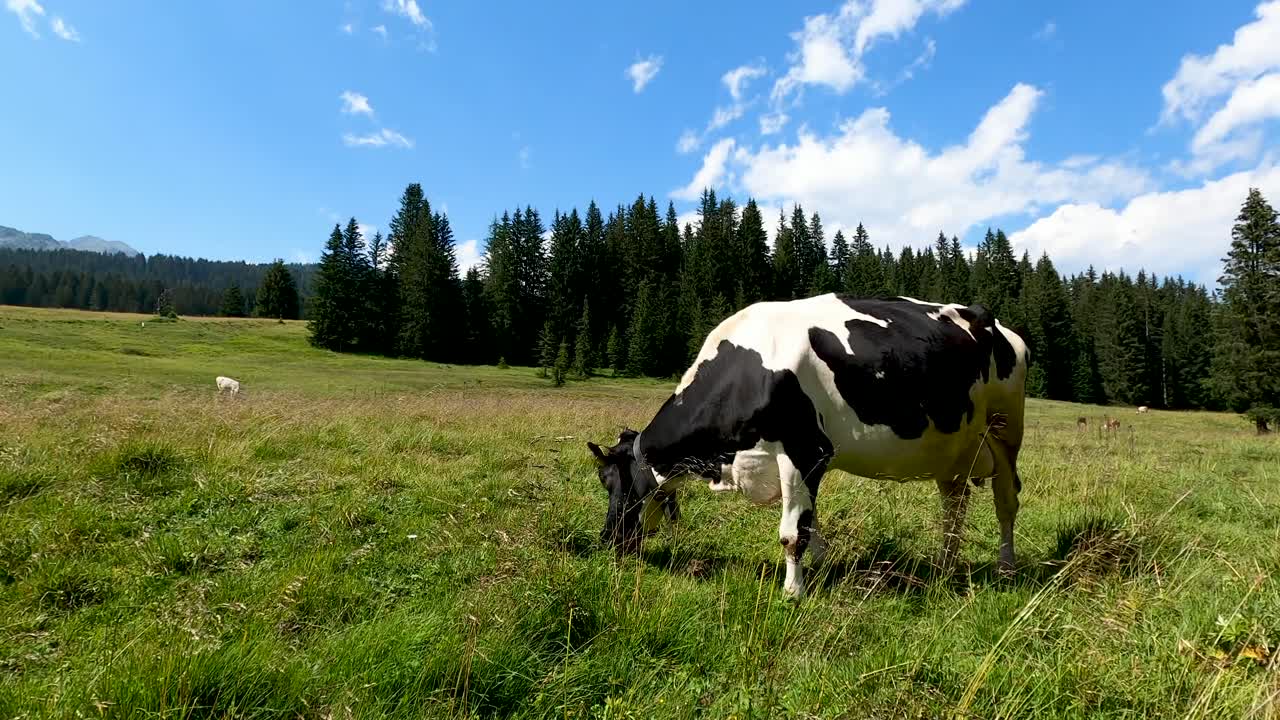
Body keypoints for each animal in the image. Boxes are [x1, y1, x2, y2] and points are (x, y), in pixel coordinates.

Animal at [587, 294, 1029, 599]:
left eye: (615, 484)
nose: (608, 539)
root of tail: (996, 323)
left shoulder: (806, 451)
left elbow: (791, 532)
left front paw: (793, 591)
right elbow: (809, 524)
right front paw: (821, 564)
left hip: (1005, 429)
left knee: (1006, 501)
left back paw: (1006, 568)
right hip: (952, 447)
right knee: (954, 505)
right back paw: (945, 566)